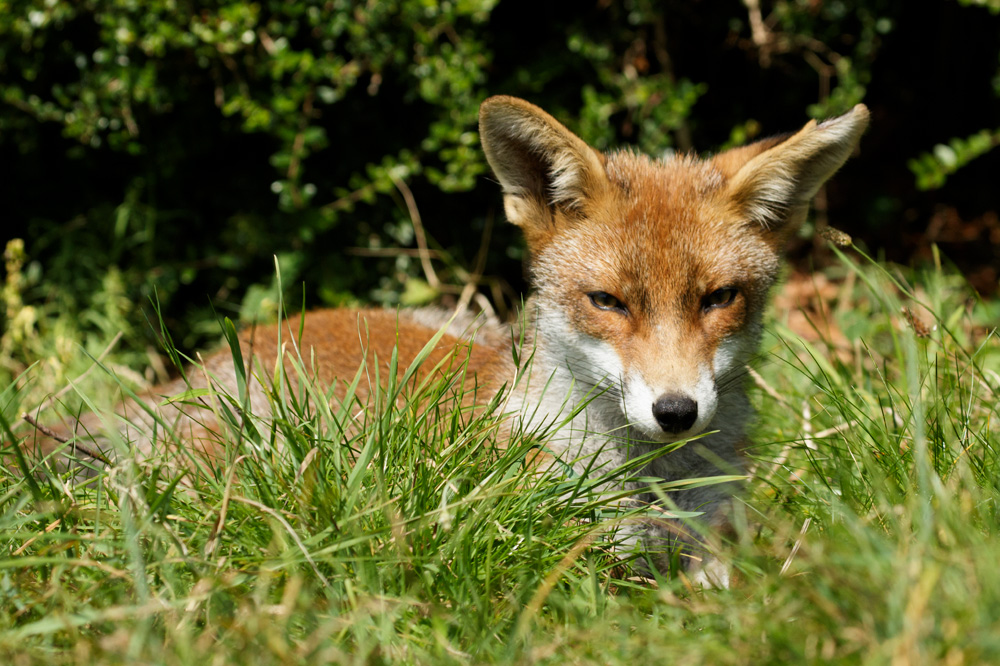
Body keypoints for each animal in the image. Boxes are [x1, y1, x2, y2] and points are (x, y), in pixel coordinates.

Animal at [16, 95, 868, 584]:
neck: (652, 489)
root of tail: (226, 351)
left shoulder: (717, 550)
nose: (676, 412)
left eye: (719, 299)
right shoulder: (563, 551)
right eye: (608, 302)